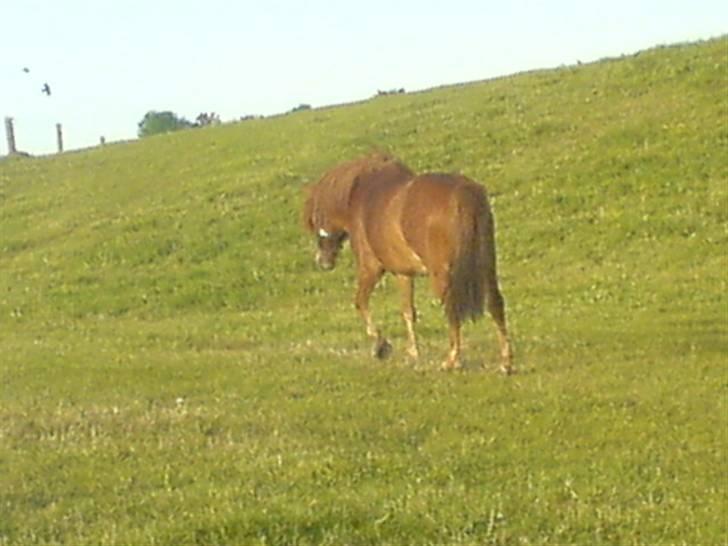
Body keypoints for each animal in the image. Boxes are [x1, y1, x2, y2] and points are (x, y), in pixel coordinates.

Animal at [304, 155, 516, 372]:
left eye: (315, 218)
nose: (323, 262)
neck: (363, 197)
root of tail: (464, 195)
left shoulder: (371, 269)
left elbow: (361, 302)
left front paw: (381, 345)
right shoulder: (403, 273)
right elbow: (408, 311)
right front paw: (413, 352)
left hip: (444, 273)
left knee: (453, 308)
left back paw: (452, 360)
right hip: (487, 265)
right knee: (495, 303)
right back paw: (505, 362)